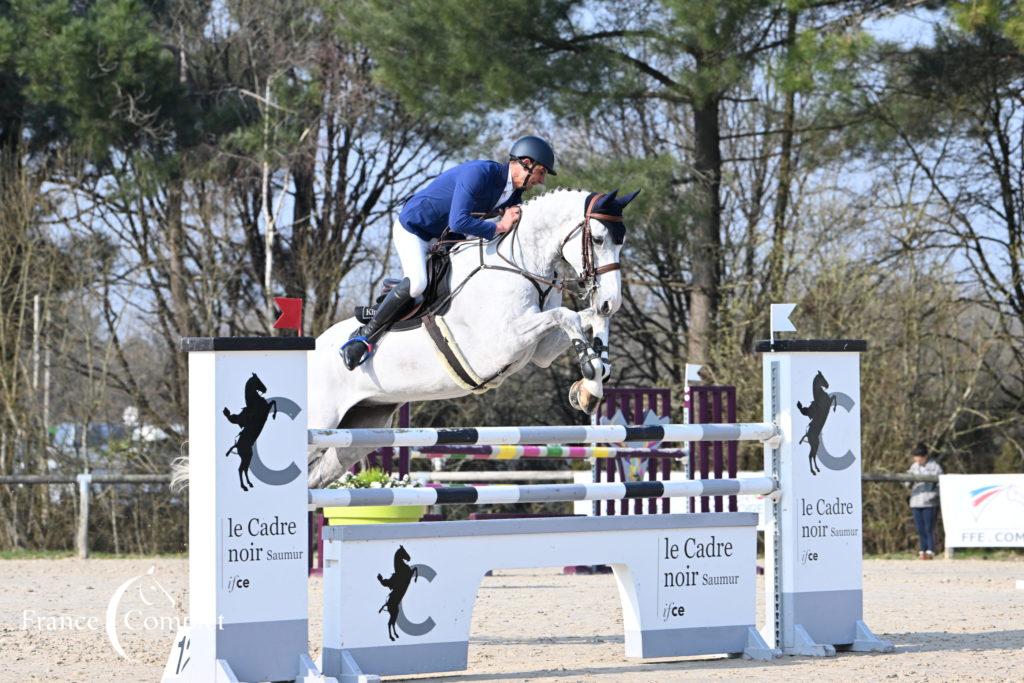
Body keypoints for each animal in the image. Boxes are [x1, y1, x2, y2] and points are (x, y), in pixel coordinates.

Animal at [305, 187, 638, 485]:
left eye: (622, 242)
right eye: (598, 239)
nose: (611, 301)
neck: (519, 264)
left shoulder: (540, 351)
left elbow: (588, 319)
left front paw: (592, 382)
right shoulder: (502, 343)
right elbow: (568, 316)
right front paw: (590, 374)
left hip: (361, 428)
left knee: (316, 478)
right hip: (322, 420)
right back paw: (353, 350)